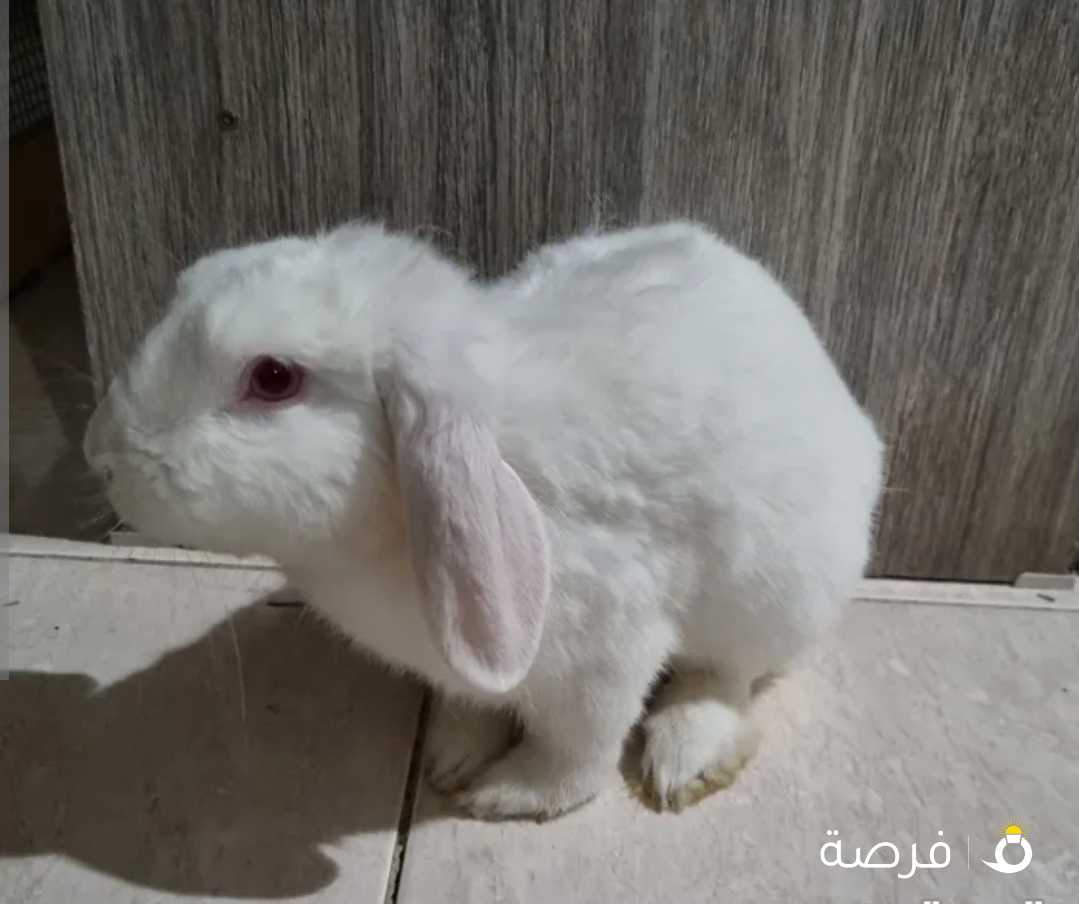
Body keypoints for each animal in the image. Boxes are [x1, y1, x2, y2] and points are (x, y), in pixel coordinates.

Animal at [83, 220, 883, 820]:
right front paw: (450, 757)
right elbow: (475, 705)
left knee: (726, 675)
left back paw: (684, 756)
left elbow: (576, 751)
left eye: (274, 378)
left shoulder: (604, 650)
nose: (101, 453)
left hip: (777, 590)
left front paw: (507, 794)